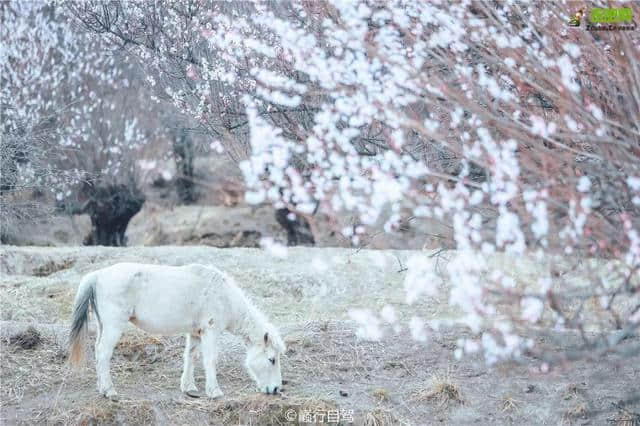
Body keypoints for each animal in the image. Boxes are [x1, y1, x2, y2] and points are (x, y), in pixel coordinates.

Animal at [68, 262, 284, 400]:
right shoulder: (210, 332)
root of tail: (97, 275)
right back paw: (109, 391)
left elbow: (191, 356)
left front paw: (189, 388)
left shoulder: (196, 333)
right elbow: (210, 360)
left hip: (104, 325)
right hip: (114, 326)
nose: (275, 389)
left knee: (98, 351)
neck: (224, 296)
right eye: (272, 359)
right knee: (103, 353)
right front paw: (214, 391)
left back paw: (101, 389)